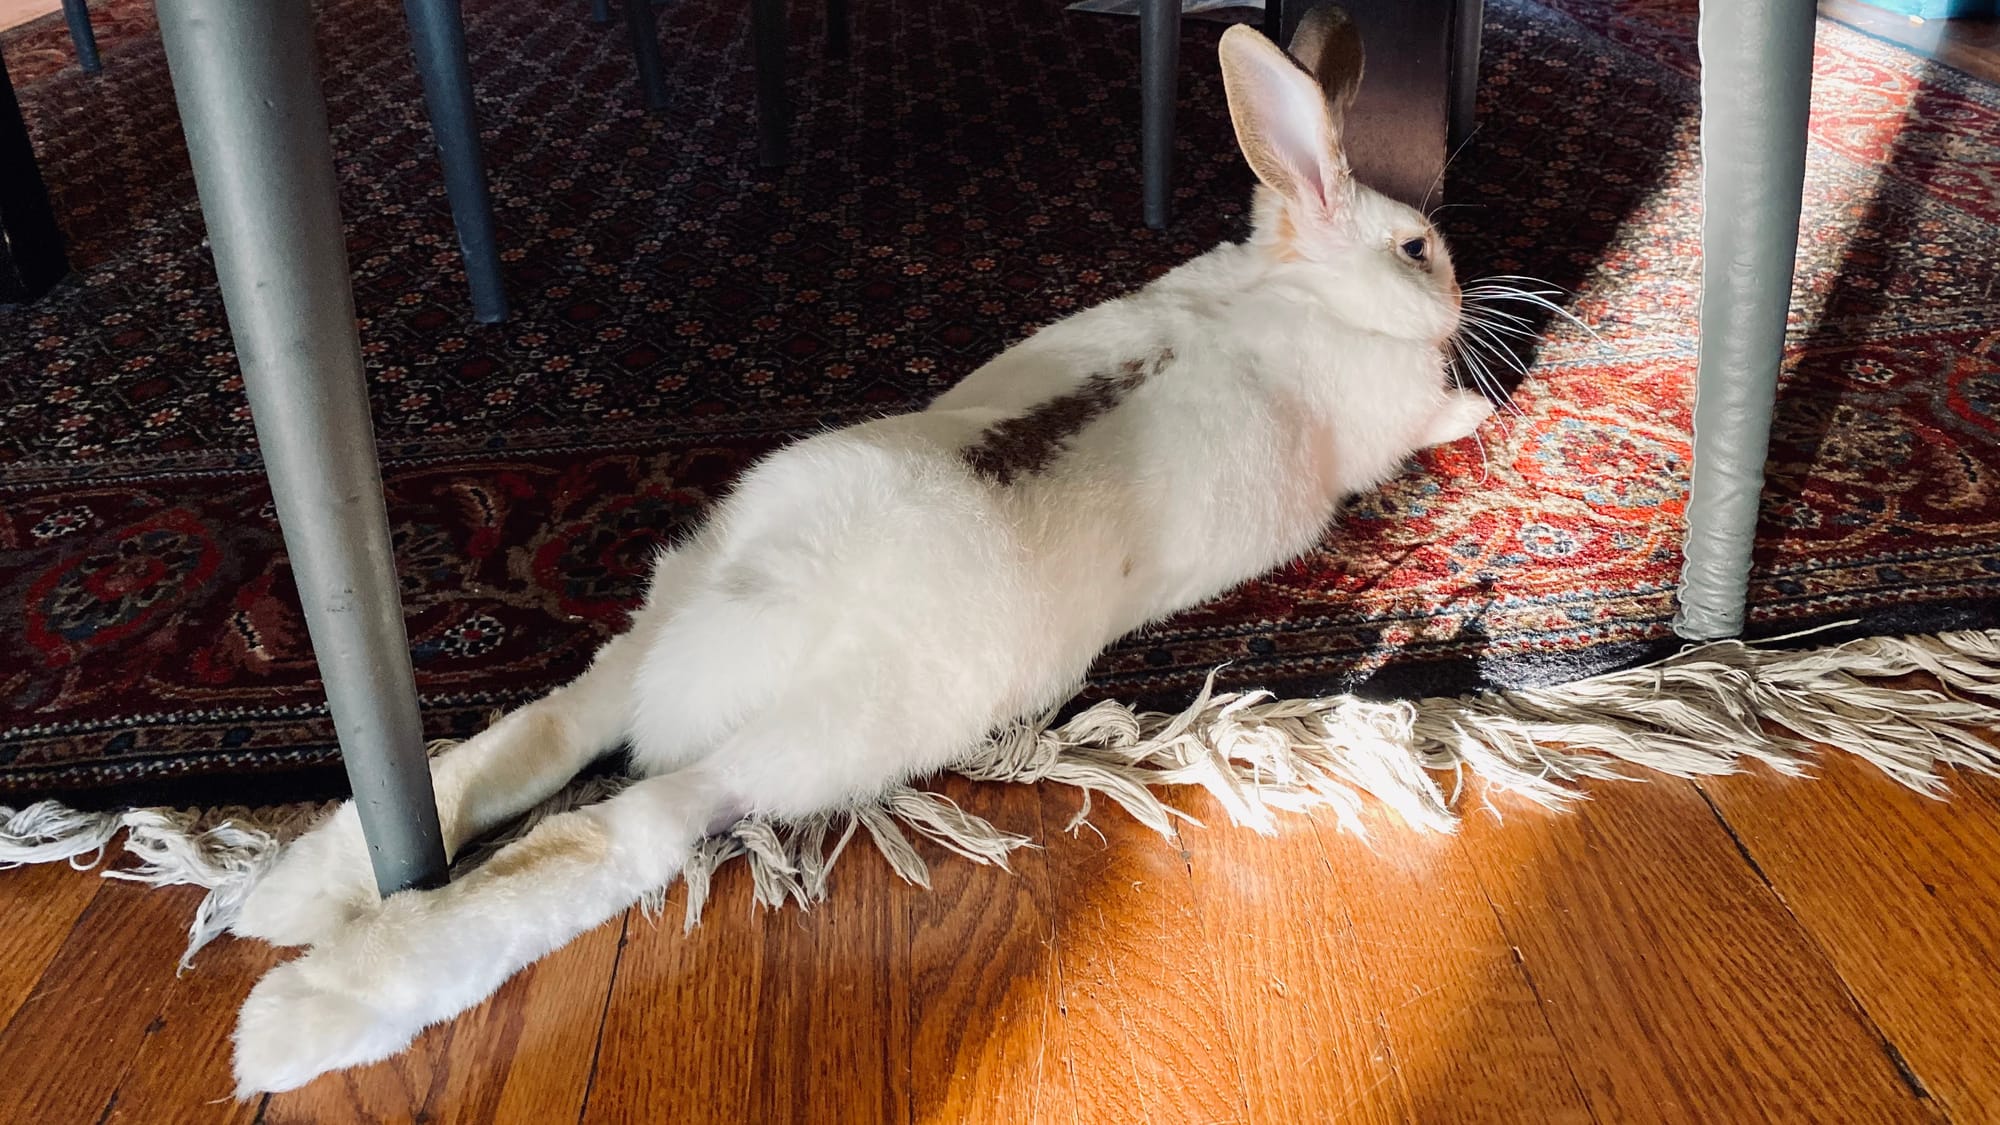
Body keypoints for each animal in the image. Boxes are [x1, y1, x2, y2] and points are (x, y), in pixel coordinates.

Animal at [230, 6, 1488, 1096]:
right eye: (1418, 248)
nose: (1463, 296)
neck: (1294, 288)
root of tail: (756, 623)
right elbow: (1420, 420)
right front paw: (1473, 405)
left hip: (682, 597)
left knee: (548, 730)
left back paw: (291, 896)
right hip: (812, 743)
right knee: (624, 827)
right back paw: (301, 1016)